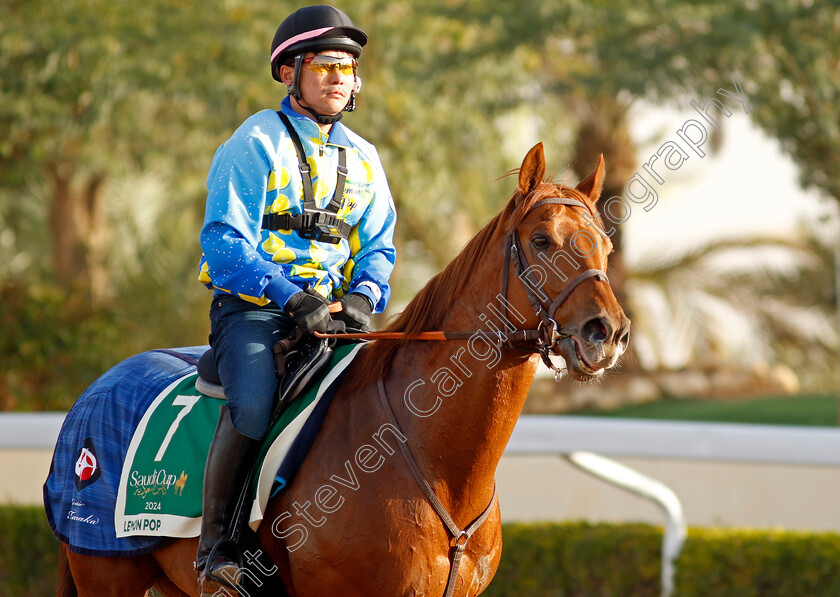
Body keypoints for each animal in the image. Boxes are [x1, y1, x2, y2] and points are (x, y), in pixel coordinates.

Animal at [60, 144, 632, 596]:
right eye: (542, 240)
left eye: (605, 244)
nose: (607, 332)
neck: (432, 461)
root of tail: (94, 392)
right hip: (106, 576)